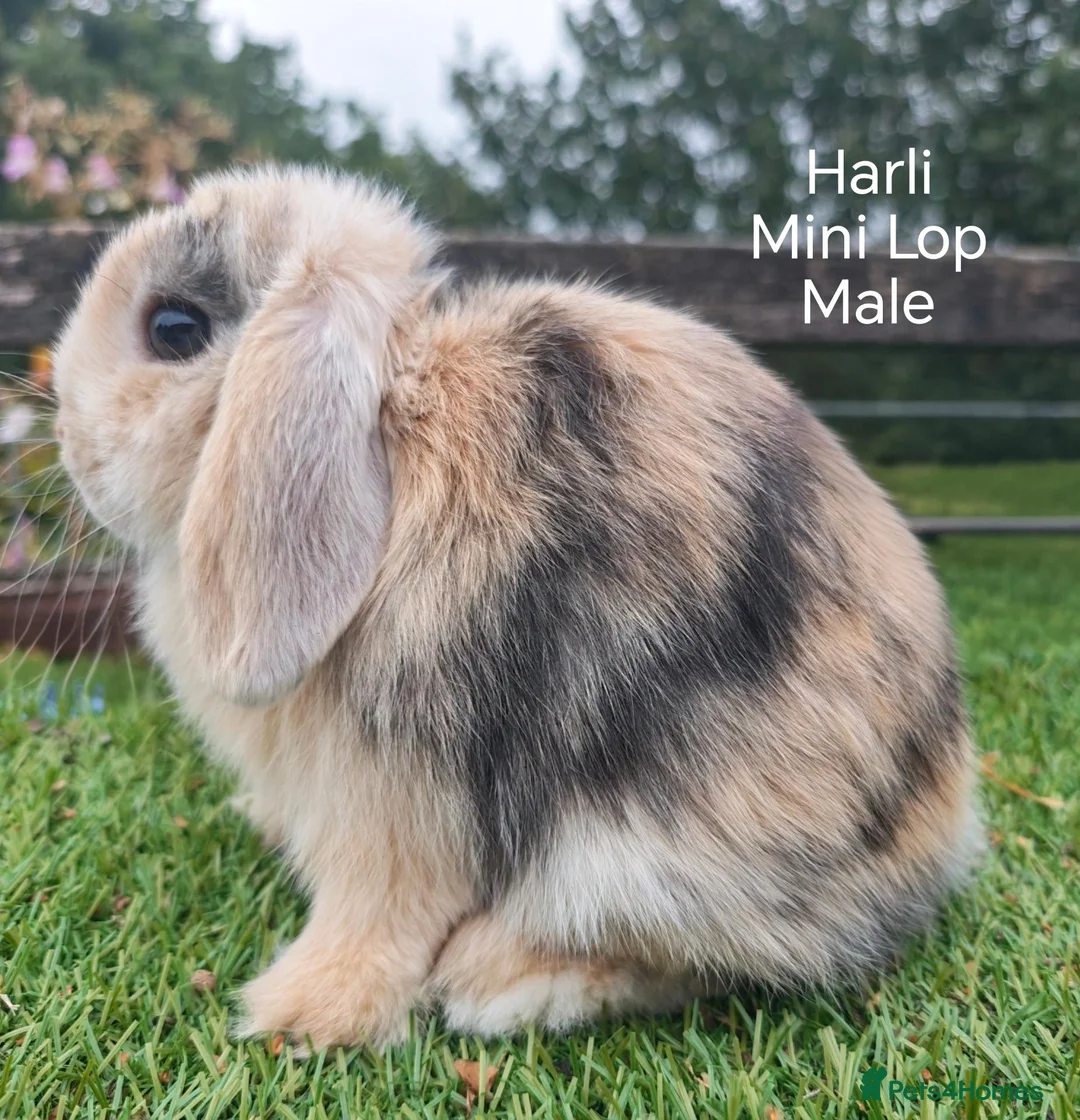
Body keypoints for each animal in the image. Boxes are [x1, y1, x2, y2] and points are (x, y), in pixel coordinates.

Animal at [52, 165, 982, 1050]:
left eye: (174, 329)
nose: (65, 437)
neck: (397, 418)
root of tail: (934, 846)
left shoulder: (392, 793)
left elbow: (375, 915)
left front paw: (301, 1018)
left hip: (656, 857)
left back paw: (495, 981)